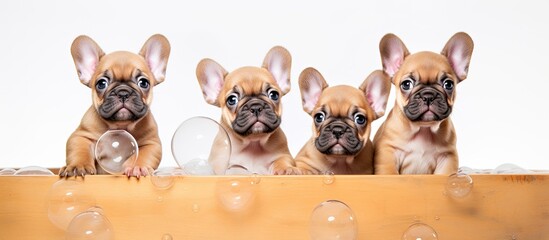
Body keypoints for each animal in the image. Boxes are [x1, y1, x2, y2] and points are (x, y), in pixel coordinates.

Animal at [58, 34, 168, 176]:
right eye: (101, 83)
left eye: (143, 83)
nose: (123, 92)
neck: (119, 127)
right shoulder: (81, 136)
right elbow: (80, 150)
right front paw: (78, 166)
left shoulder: (152, 143)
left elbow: (143, 154)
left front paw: (136, 167)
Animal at [197, 46, 298, 175]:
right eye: (232, 99)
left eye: (274, 95)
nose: (255, 107)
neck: (253, 143)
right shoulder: (218, 163)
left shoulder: (284, 154)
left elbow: (282, 160)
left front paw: (286, 169)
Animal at [374, 31, 474, 174]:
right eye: (406, 84)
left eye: (448, 84)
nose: (428, 95)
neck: (423, 129)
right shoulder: (388, 150)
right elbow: (390, 172)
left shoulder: (447, 156)